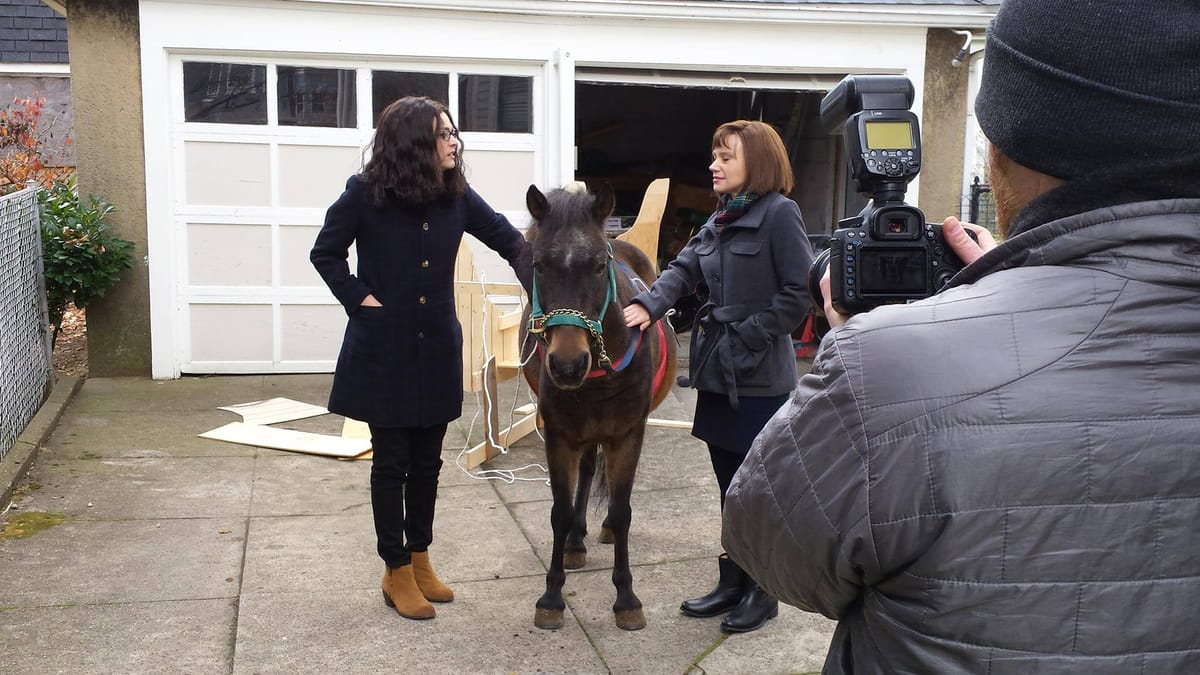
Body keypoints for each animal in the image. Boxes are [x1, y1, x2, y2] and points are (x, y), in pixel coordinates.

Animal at [520, 183, 677, 631]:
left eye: (595, 266)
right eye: (539, 265)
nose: (567, 364)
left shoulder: (627, 433)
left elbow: (623, 511)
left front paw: (626, 598)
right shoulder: (560, 434)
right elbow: (558, 511)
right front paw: (552, 596)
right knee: (588, 470)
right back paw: (576, 540)